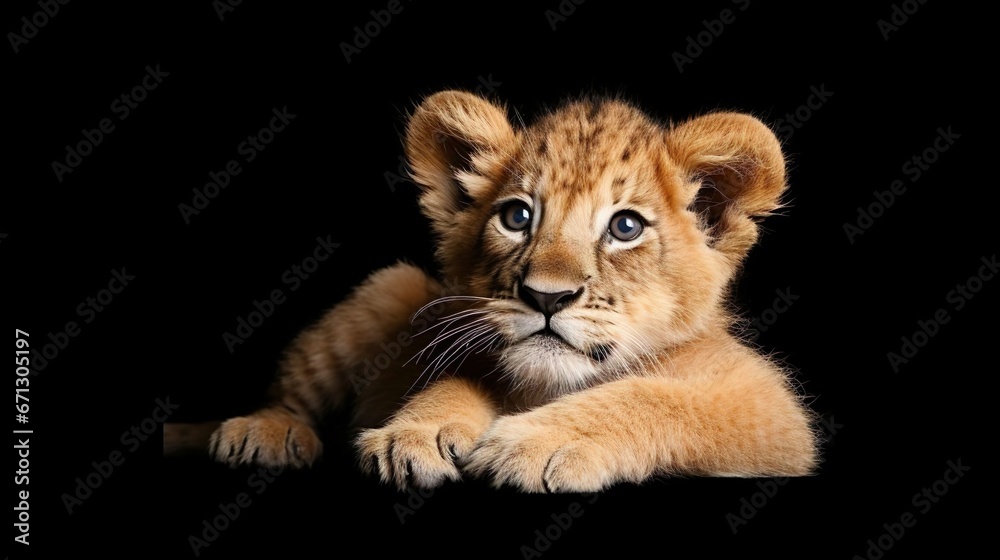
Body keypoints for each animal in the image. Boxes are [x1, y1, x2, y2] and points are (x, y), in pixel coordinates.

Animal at [164, 90, 819, 493]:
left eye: (626, 227)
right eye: (517, 216)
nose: (547, 297)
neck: (553, 385)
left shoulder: (771, 413)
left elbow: (654, 398)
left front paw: (539, 442)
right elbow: (455, 380)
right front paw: (415, 433)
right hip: (385, 291)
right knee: (289, 397)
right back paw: (264, 432)